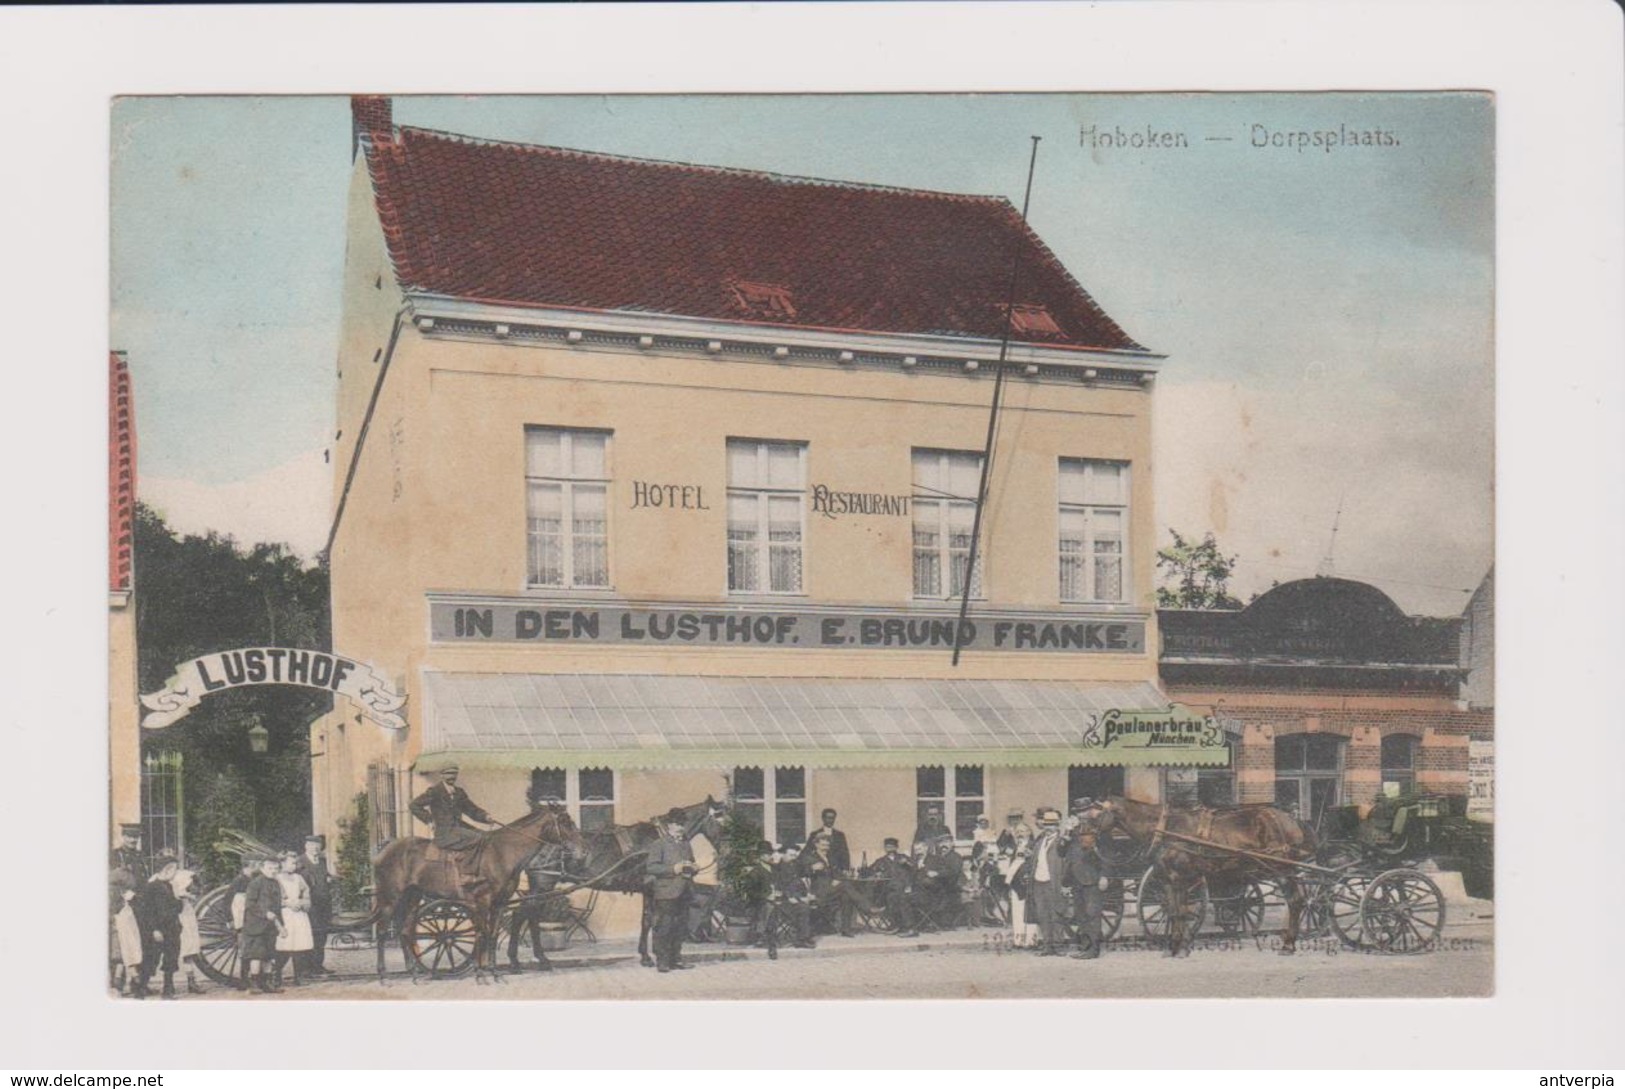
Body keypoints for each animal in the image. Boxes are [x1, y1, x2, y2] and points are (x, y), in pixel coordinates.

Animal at [367, 806, 585, 988]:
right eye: (565, 822)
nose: (581, 852)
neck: (502, 853)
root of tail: (384, 851)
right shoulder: (482, 901)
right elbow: (482, 933)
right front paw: (481, 974)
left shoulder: (499, 903)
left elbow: (492, 934)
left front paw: (495, 973)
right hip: (390, 899)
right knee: (382, 932)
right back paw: (384, 976)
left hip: (411, 897)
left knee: (404, 931)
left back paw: (413, 974)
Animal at [1092, 796, 1319, 962]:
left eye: (1095, 813)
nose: (1087, 835)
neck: (1165, 828)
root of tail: (1293, 819)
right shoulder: (1167, 880)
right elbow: (1173, 912)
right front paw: (1173, 947)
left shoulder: (1180, 877)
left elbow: (1182, 912)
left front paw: (1181, 948)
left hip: (1282, 870)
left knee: (1296, 901)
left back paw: (1288, 945)